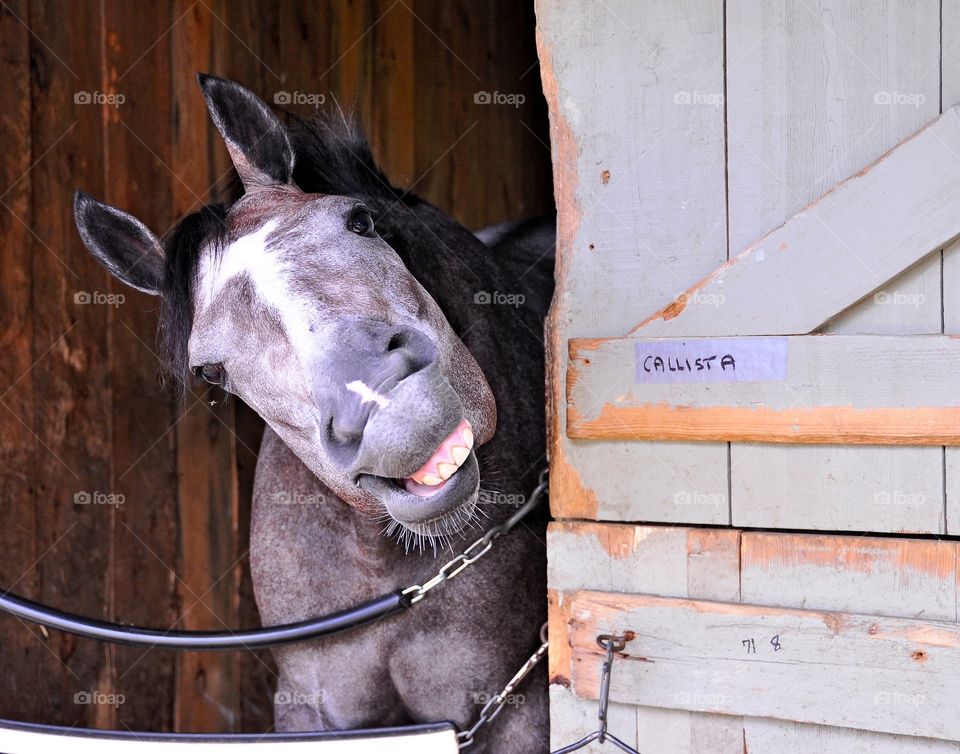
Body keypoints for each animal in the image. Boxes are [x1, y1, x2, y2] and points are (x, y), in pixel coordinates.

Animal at [73, 72, 556, 752]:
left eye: (360, 220)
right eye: (210, 372)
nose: (388, 407)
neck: (388, 566)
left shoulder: (519, 710)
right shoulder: (311, 710)